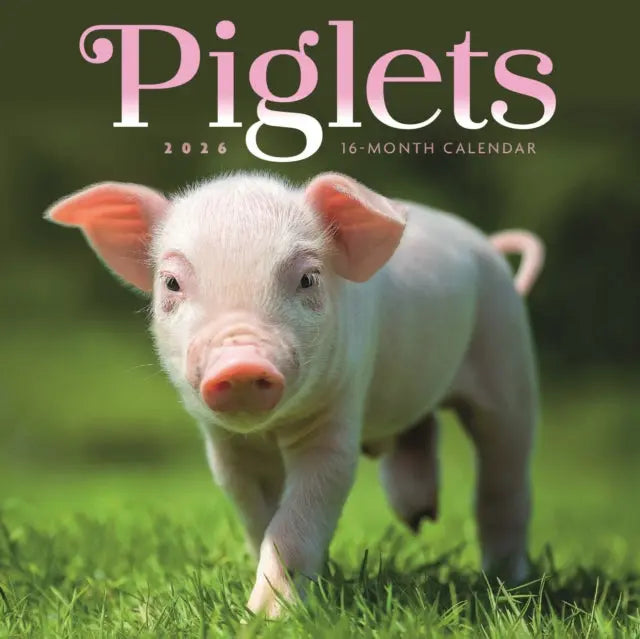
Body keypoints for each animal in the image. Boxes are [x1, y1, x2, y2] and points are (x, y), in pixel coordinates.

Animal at [45, 172, 544, 617]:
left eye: (307, 279)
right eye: (171, 283)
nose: (241, 364)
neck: (272, 430)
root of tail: (488, 245)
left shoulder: (336, 419)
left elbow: (303, 512)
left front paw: (268, 617)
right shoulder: (228, 449)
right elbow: (258, 516)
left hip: (507, 357)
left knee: (503, 472)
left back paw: (505, 578)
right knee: (419, 429)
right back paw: (419, 517)